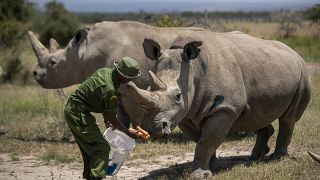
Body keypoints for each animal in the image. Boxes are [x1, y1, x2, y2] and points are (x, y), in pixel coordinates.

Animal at [119, 31, 310, 179]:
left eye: (178, 96)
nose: (153, 128)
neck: (193, 70)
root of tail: (293, 52)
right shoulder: (187, 113)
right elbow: (202, 140)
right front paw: (213, 167)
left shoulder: (224, 108)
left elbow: (206, 141)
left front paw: (199, 175)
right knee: (255, 113)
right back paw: (256, 156)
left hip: (302, 73)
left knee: (288, 118)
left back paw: (277, 158)